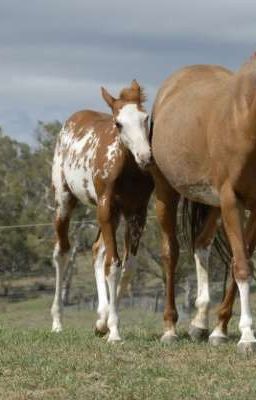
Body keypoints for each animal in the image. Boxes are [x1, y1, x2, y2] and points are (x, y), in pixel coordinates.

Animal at [51, 80, 153, 340]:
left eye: (145, 117)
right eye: (118, 123)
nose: (146, 157)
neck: (127, 170)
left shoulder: (136, 213)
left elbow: (127, 267)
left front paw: (104, 324)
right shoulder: (107, 208)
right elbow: (113, 265)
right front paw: (114, 331)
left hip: (111, 216)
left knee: (96, 250)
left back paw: (100, 318)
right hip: (64, 201)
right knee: (62, 252)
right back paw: (57, 322)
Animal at [151, 57, 256, 352]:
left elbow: (239, 260)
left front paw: (220, 329)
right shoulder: (232, 200)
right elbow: (242, 266)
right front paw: (247, 337)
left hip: (213, 204)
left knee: (200, 244)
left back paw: (201, 324)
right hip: (166, 192)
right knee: (170, 253)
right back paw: (170, 328)